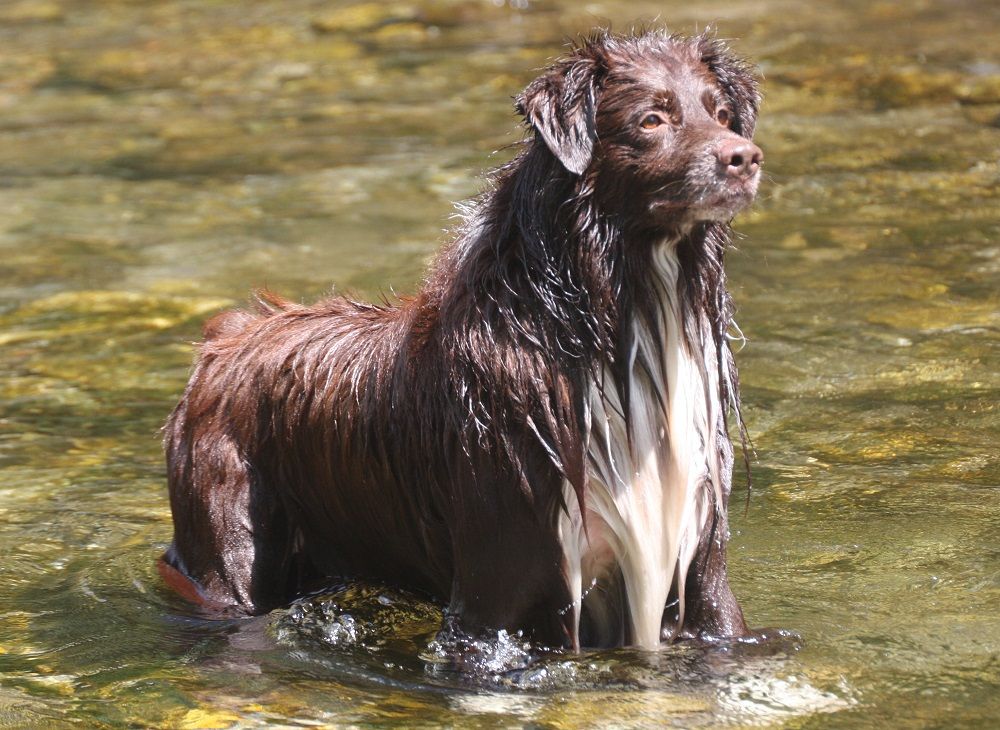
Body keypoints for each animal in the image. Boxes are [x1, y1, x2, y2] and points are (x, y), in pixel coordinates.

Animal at [160, 31, 760, 648]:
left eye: (721, 114)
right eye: (652, 119)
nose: (744, 157)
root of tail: (229, 335)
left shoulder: (704, 569)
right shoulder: (494, 586)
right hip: (229, 539)